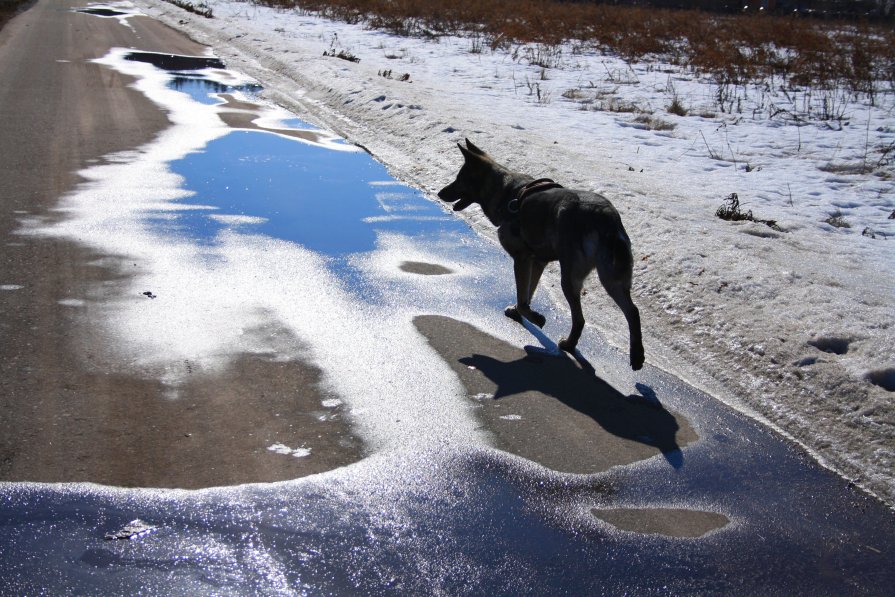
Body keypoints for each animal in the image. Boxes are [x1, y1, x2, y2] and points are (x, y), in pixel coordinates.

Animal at [440, 141, 644, 372]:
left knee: (580, 318)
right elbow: (527, 293)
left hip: (571, 278)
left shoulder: (521, 259)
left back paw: (569, 344)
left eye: (459, 179)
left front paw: (535, 317)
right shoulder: (537, 262)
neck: (506, 192)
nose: (440, 193)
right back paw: (637, 355)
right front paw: (519, 312)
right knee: (633, 312)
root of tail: (606, 217)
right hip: (612, 277)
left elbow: (523, 296)